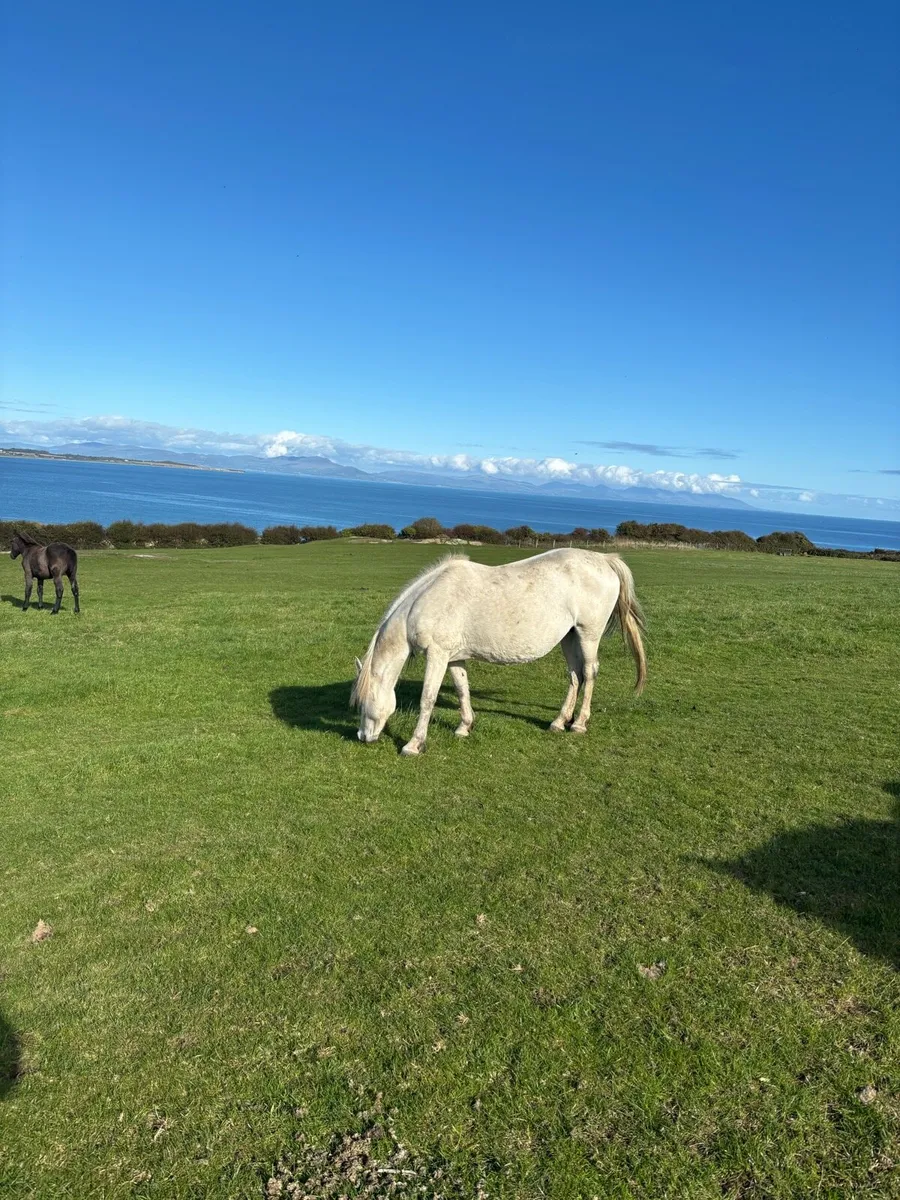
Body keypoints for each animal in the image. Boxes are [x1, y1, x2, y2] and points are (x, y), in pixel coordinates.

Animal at [351, 548, 646, 755]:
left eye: (363, 703)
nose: (363, 737)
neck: (425, 602)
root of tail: (604, 560)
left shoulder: (437, 655)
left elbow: (428, 699)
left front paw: (413, 745)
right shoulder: (454, 657)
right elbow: (462, 689)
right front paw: (464, 727)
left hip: (588, 634)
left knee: (589, 671)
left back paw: (579, 724)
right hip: (569, 636)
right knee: (575, 675)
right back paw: (559, 722)